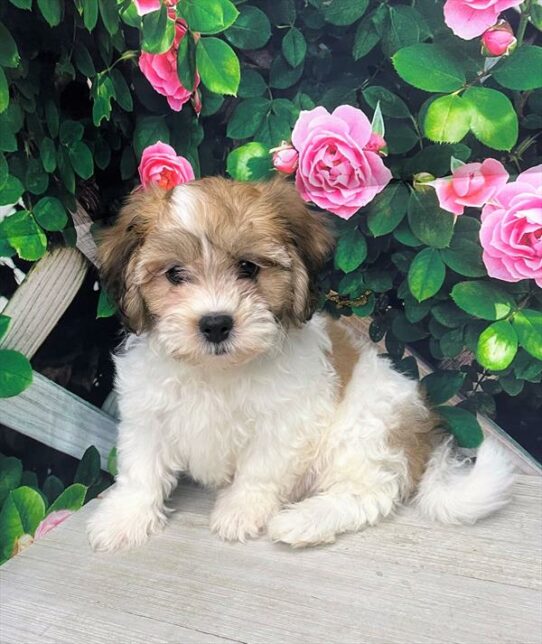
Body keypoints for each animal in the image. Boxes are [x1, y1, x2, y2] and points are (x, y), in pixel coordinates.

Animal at [87, 179, 516, 552]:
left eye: (248, 268)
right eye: (175, 273)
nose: (215, 323)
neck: (218, 370)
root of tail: (422, 435)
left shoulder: (284, 422)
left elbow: (259, 471)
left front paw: (240, 511)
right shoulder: (148, 413)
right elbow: (141, 469)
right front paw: (124, 518)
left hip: (363, 430)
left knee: (369, 492)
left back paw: (305, 521)